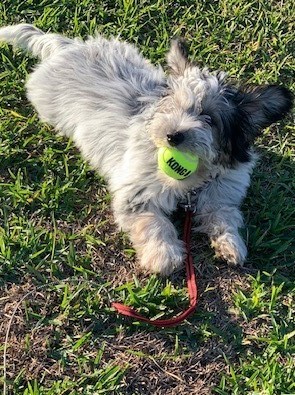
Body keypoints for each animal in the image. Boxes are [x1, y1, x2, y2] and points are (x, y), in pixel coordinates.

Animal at [0, 24, 294, 276]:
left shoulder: (222, 192)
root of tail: (66, 47)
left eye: (210, 119)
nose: (172, 135)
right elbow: (154, 222)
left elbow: (224, 216)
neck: (194, 179)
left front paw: (231, 244)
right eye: (174, 106)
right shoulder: (137, 192)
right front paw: (164, 255)